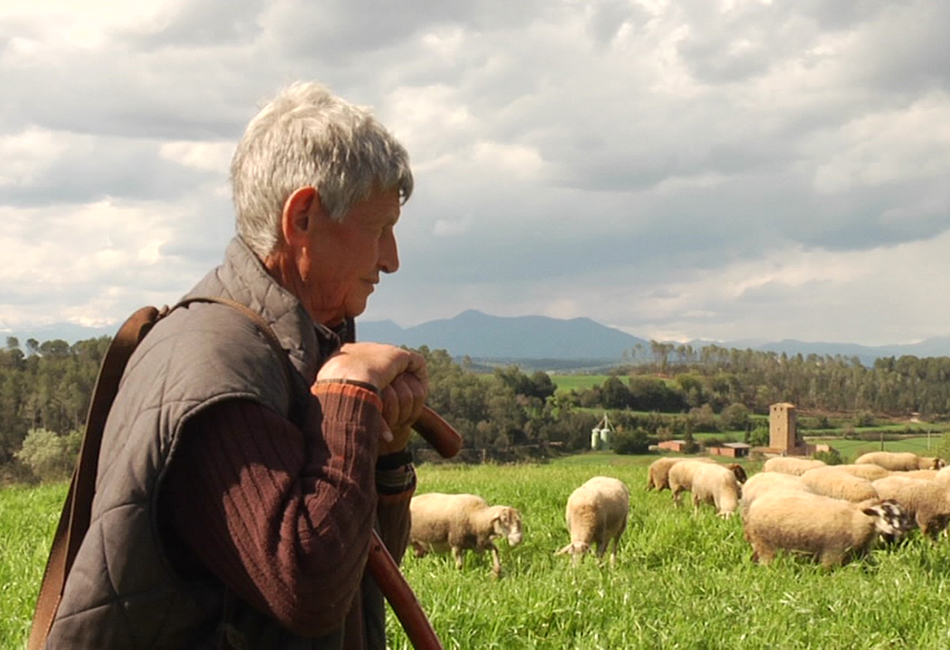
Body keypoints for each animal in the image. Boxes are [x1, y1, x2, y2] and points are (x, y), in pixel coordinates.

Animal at [748, 488, 912, 564]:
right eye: (886, 516)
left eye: (902, 514)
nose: (904, 530)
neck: (856, 519)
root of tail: (756, 503)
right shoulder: (833, 553)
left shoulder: (860, 552)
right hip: (766, 546)